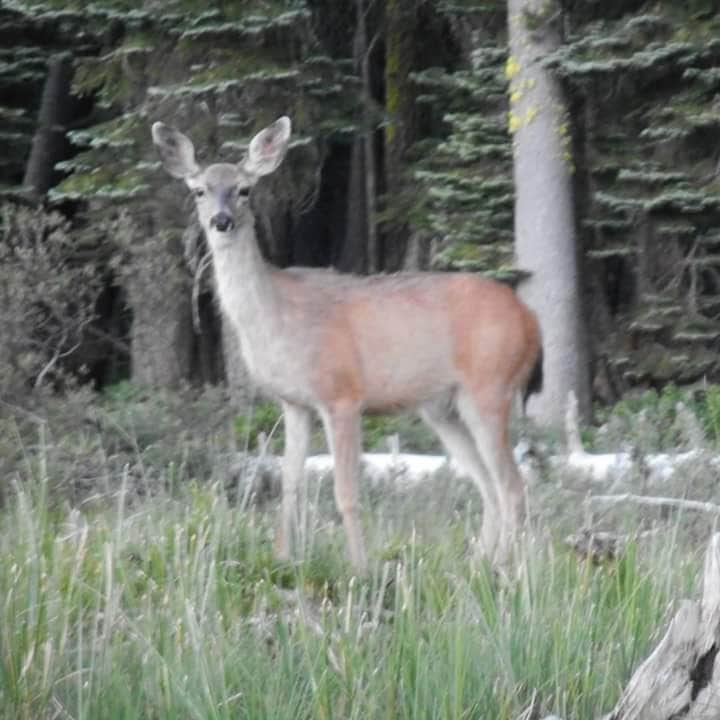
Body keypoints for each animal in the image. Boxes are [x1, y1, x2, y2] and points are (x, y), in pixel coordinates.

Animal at [153, 114, 544, 572]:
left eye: (244, 189)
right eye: (199, 190)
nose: (222, 221)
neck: (277, 319)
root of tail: (531, 320)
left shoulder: (341, 394)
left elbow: (346, 492)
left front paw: (359, 567)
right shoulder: (294, 403)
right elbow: (290, 484)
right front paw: (282, 557)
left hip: (491, 385)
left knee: (512, 485)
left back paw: (504, 569)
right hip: (443, 407)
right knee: (488, 485)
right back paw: (479, 564)